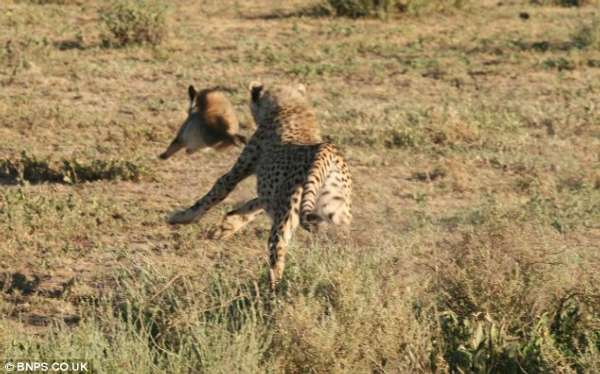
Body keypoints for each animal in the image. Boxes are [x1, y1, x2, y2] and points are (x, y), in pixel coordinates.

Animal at [169, 82, 352, 288]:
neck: (290, 105)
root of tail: (326, 149)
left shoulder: (238, 172)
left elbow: (214, 194)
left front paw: (180, 217)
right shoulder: (270, 193)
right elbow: (253, 205)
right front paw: (228, 224)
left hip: (285, 219)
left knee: (277, 254)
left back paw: (272, 290)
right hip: (337, 215)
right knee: (346, 250)